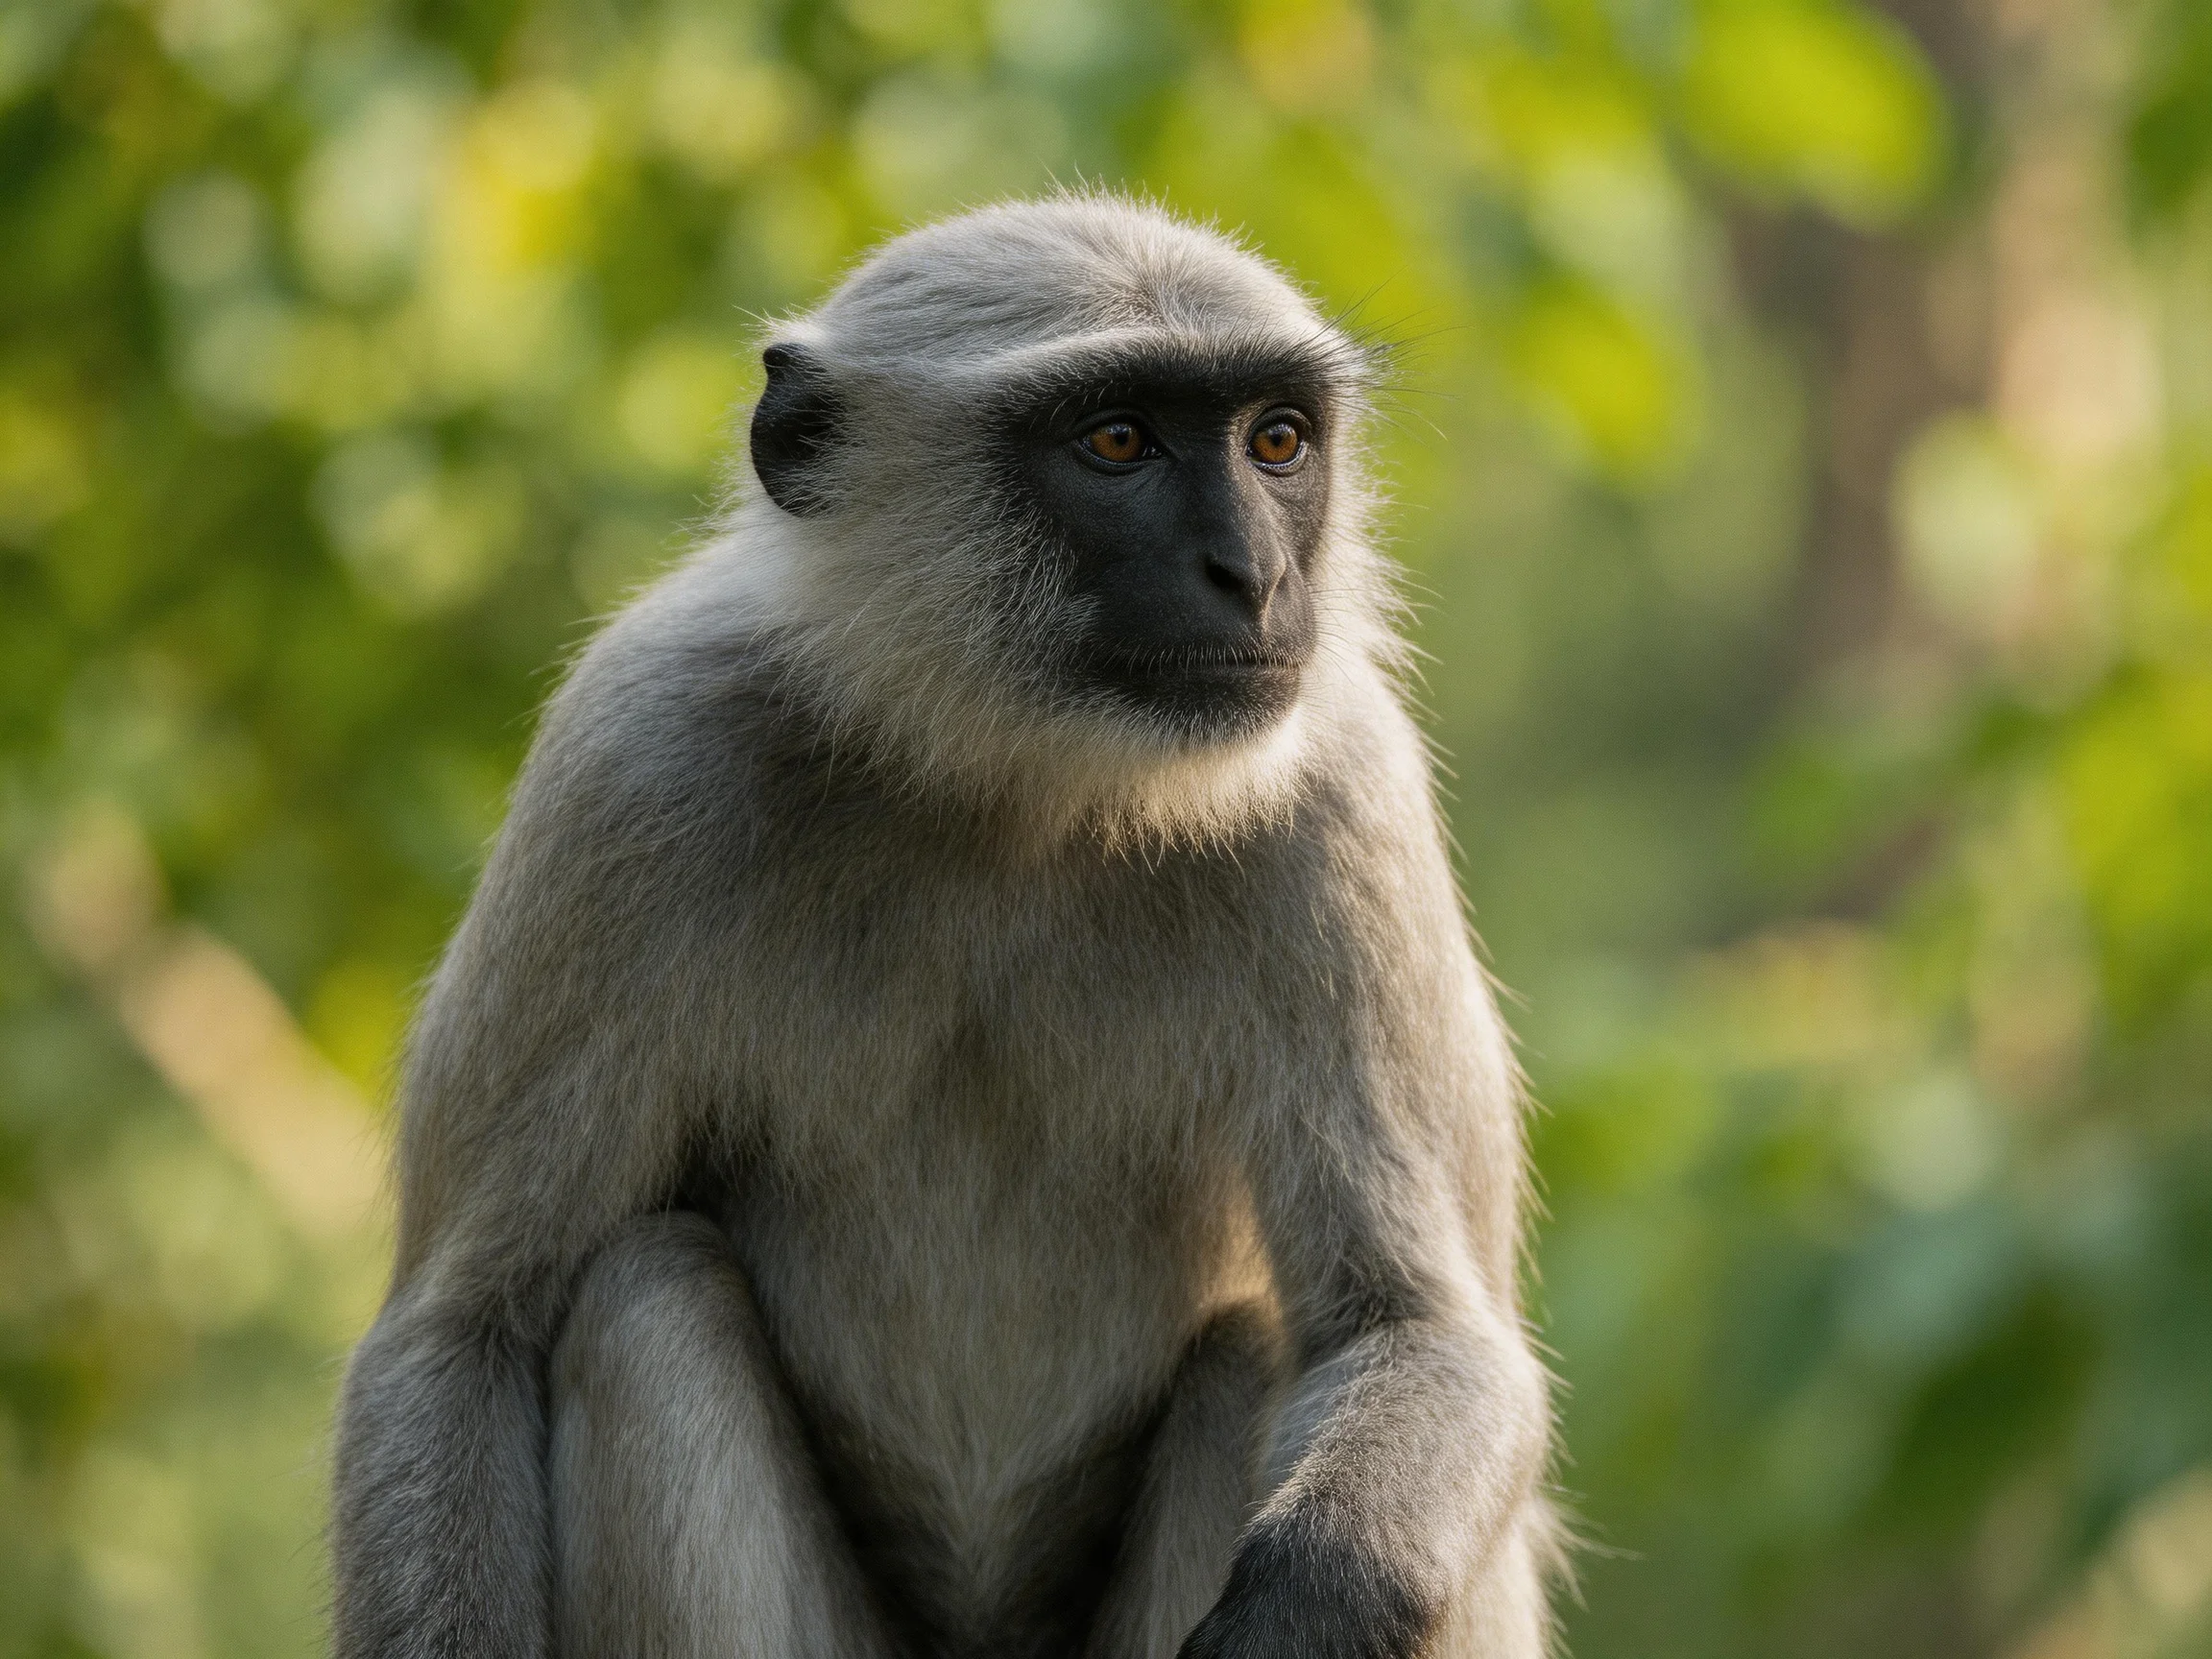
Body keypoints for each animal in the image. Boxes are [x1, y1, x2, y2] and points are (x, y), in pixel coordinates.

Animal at [331, 193, 1560, 1659]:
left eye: (1277, 442)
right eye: (1117, 442)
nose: (1253, 577)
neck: (1009, 795)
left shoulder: (1342, 790)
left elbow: (1428, 1336)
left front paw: (1295, 1615)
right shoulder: (634, 755)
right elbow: (460, 1335)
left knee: (1271, 1346)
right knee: (643, 1297)